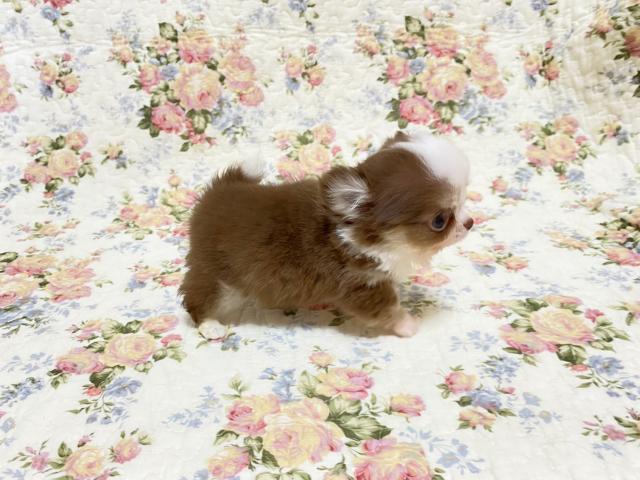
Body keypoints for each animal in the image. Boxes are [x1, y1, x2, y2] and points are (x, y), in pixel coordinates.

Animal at [179, 131, 473, 337]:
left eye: (463, 200)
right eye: (439, 221)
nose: (470, 222)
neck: (353, 231)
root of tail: (217, 192)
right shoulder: (360, 286)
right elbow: (389, 307)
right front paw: (408, 324)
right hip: (218, 276)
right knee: (197, 297)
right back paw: (209, 325)